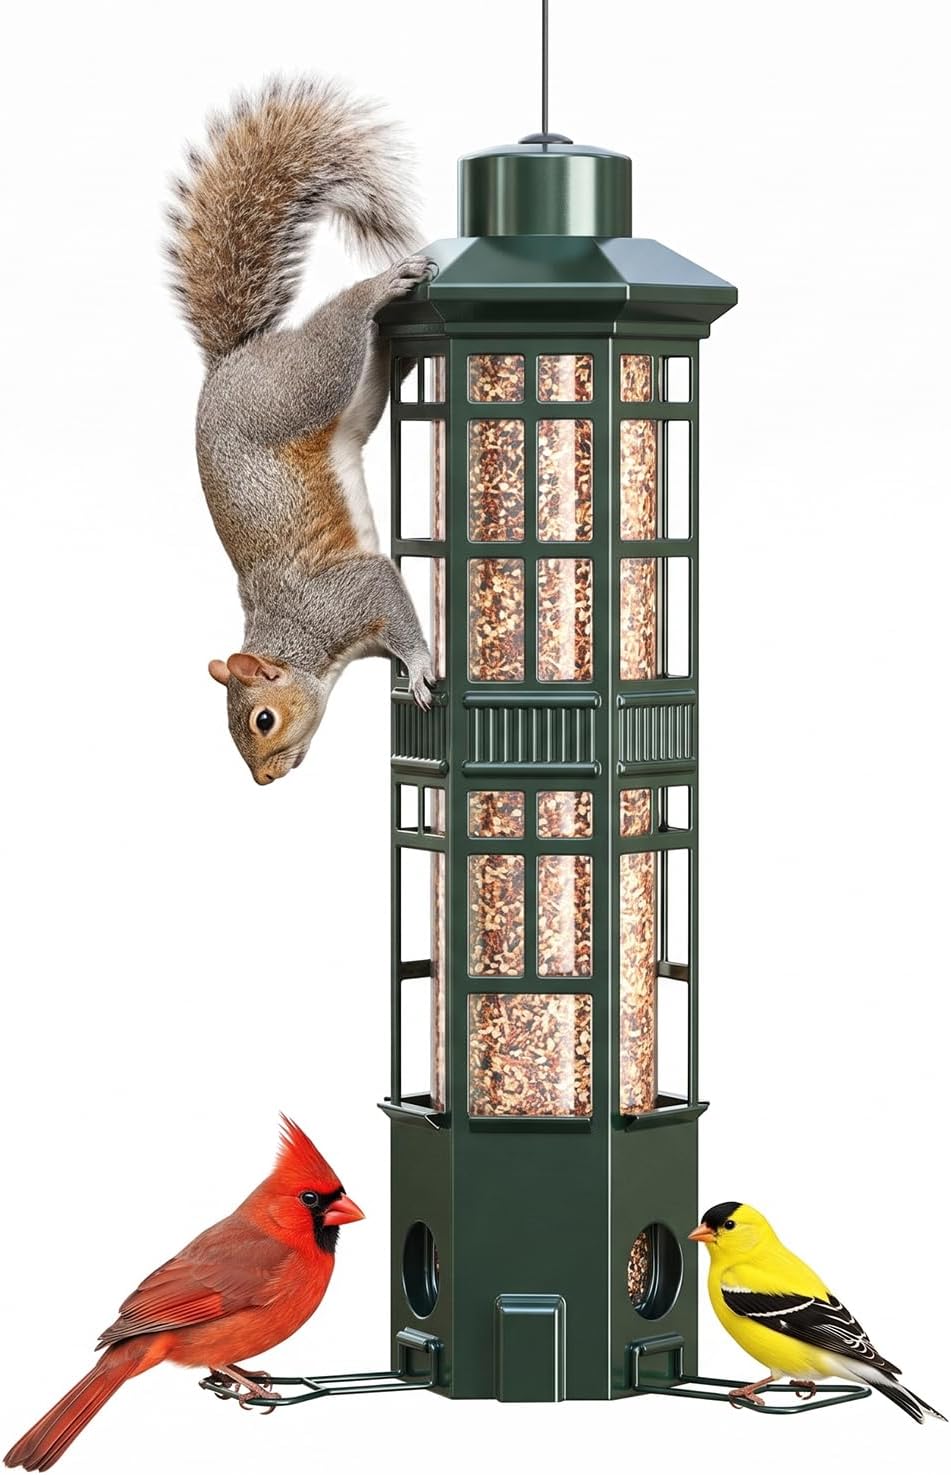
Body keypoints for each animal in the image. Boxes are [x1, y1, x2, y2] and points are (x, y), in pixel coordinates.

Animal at [167, 78, 434, 785]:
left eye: (263, 720)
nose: (265, 780)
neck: (302, 640)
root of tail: (233, 362)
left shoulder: (348, 593)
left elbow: (386, 590)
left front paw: (423, 666)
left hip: (306, 381)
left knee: (346, 320)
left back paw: (385, 284)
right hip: (345, 394)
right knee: (372, 365)